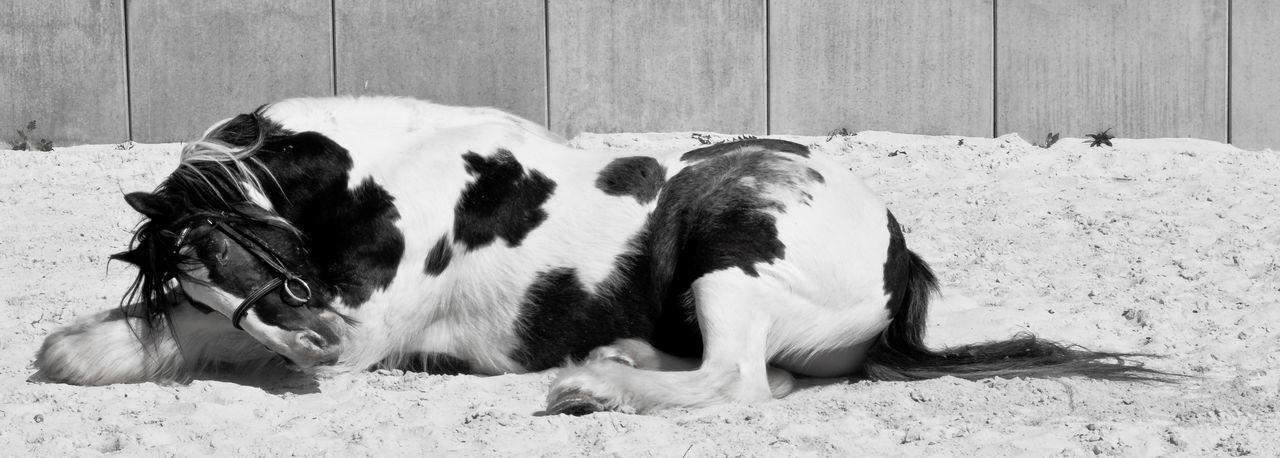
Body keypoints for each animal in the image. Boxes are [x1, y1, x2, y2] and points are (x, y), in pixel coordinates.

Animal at [32, 97, 1172, 414]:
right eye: (206, 255)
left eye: (240, 241)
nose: (309, 338)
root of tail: (895, 253)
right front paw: (84, 346)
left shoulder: (360, 329)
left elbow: (215, 341)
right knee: (753, 375)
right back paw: (612, 363)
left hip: (731, 246)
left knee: (736, 380)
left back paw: (591, 388)